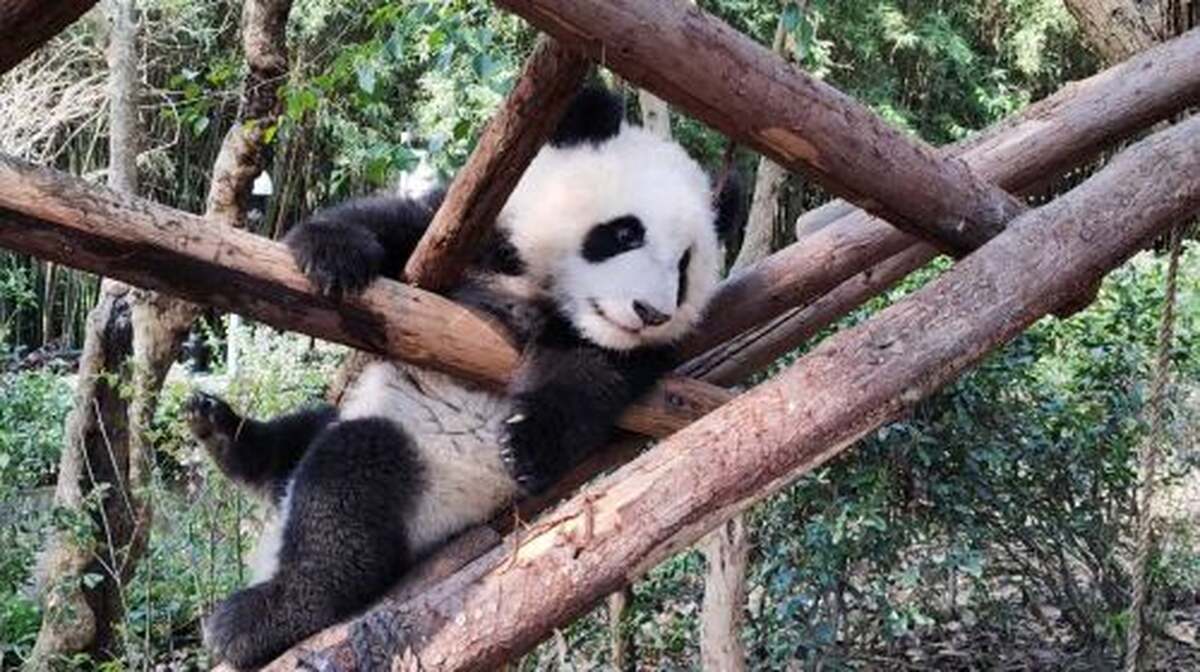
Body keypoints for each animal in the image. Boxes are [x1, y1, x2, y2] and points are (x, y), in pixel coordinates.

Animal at [185, 86, 743, 669]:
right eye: (624, 233)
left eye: (684, 267)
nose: (651, 313)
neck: (544, 292)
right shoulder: (481, 232)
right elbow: (404, 224)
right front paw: (331, 252)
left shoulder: (627, 351)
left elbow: (589, 379)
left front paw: (527, 443)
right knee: (302, 435)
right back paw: (225, 433)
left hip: (434, 486)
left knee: (349, 494)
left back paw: (261, 616)